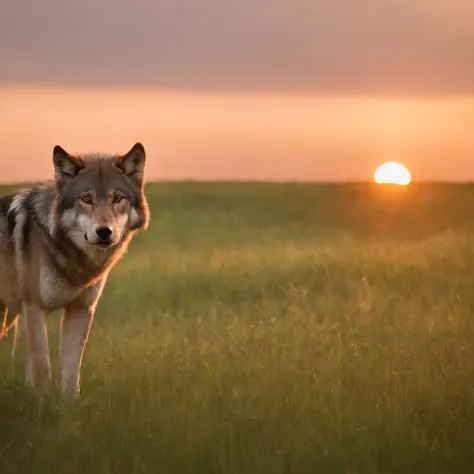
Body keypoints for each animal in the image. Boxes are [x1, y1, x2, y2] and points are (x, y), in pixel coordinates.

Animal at [0, 142, 149, 400]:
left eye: (117, 198)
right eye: (86, 199)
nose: (104, 231)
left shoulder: (80, 310)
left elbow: (71, 374)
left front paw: (68, 408)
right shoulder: (34, 309)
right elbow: (42, 371)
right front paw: (44, 407)